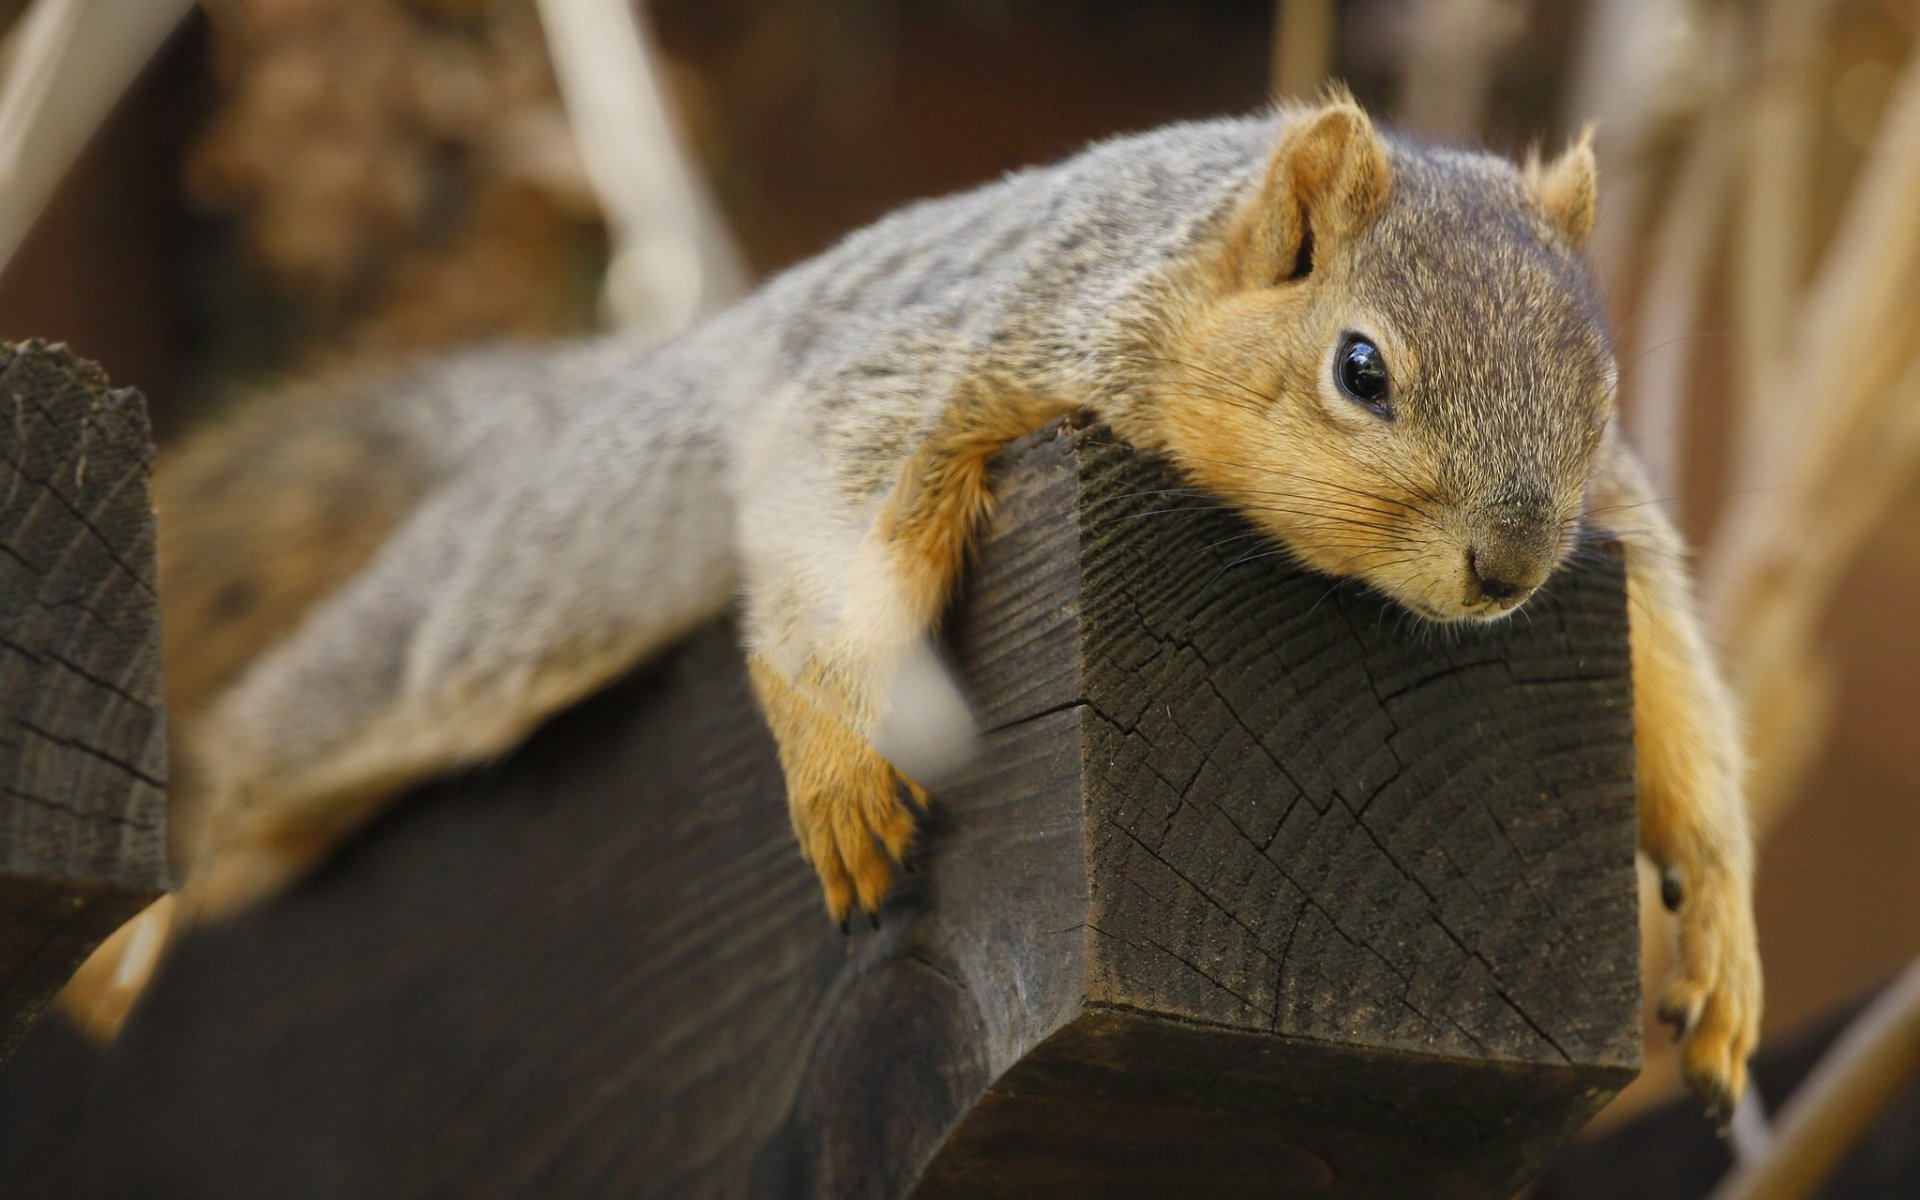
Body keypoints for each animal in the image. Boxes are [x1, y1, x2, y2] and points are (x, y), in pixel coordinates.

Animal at [52, 96, 1758, 1121]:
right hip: (484, 623)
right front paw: (838, 773)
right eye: (1361, 369)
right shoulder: (972, 360)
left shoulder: (1620, 523)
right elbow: (821, 560)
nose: (1512, 566)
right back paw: (143, 937)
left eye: (1602, 386)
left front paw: (1722, 940)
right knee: (282, 743)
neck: (1182, 272)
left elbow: (1679, 687)